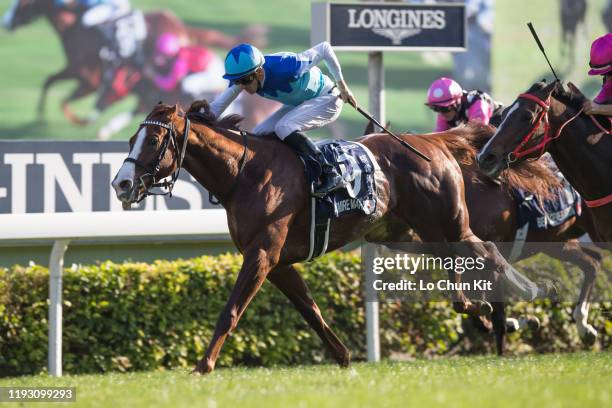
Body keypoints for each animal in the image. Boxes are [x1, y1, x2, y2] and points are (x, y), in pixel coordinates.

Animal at [110, 100, 556, 372]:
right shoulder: (277, 262)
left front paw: (203, 366)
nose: (121, 184)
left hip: (448, 221)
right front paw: (343, 358)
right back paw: (483, 308)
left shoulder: (262, 254)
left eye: (154, 139)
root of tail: (431, 141)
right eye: (132, 139)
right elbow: (311, 311)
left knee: (486, 250)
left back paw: (529, 295)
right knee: (458, 266)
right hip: (406, 232)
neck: (244, 173)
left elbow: (232, 311)